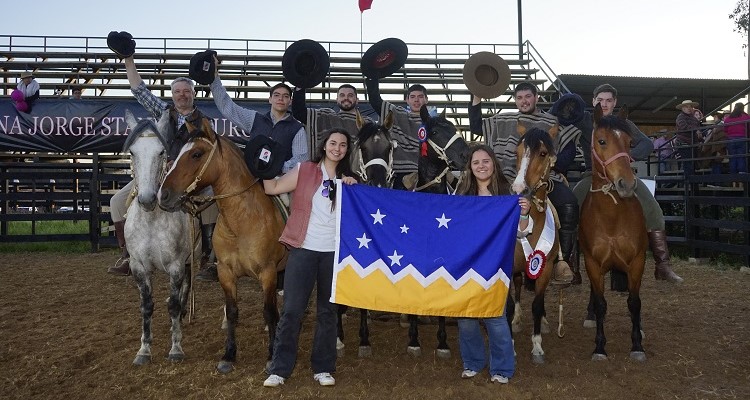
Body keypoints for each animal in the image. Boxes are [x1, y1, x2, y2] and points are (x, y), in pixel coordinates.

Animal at [122, 109, 195, 366]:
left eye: (161, 152)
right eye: (132, 152)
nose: (147, 199)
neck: (152, 221)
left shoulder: (175, 265)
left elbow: (172, 304)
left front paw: (176, 348)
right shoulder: (139, 267)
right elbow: (146, 305)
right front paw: (144, 350)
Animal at [159, 117, 288, 374]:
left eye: (196, 154)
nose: (163, 195)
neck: (241, 222)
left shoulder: (267, 273)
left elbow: (269, 312)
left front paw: (271, 356)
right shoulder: (226, 273)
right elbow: (232, 312)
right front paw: (229, 355)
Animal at [580, 104, 652, 362]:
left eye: (630, 143)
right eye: (601, 141)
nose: (626, 184)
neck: (611, 218)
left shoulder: (637, 262)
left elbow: (635, 302)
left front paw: (637, 345)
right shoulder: (592, 263)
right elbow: (601, 303)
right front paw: (600, 347)